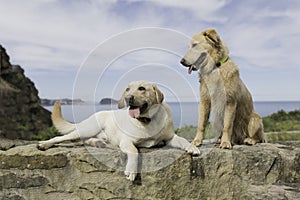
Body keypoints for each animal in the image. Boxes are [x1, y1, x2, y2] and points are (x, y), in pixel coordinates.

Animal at [38, 80, 202, 180]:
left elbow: (182, 139)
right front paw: (132, 170)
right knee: (61, 138)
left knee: (87, 140)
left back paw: (97, 143)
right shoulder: (126, 141)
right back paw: (44, 144)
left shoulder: (169, 137)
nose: (128, 97)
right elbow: (134, 151)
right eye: (127, 89)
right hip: (86, 128)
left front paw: (192, 147)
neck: (147, 120)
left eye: (142, 88)